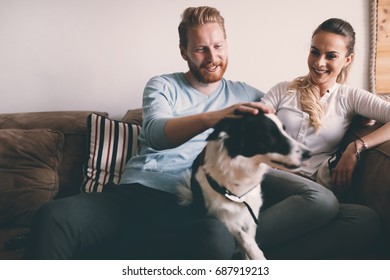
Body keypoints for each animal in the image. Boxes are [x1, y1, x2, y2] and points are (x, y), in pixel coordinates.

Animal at [179, 112, 310, 260]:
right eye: (270, 135)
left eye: (284, 130)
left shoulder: (251, 209)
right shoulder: (219, 214)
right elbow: (245, 237)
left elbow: (249, 236)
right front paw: (257, 255)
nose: (308, 154)